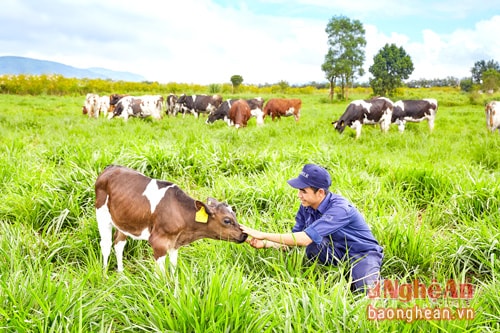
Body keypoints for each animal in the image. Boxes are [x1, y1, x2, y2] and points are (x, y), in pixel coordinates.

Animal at [94, 165, 247, 272]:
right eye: (227, 220)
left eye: (235, 215)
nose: (244, 235)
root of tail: (111, 167)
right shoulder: (158, 242)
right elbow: (160, 274)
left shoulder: (175, 243)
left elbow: (173, 268)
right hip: (102, 214)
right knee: (106, 244)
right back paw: (105, 275)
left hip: (124, 219)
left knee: (119, 243)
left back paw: (121, 273)